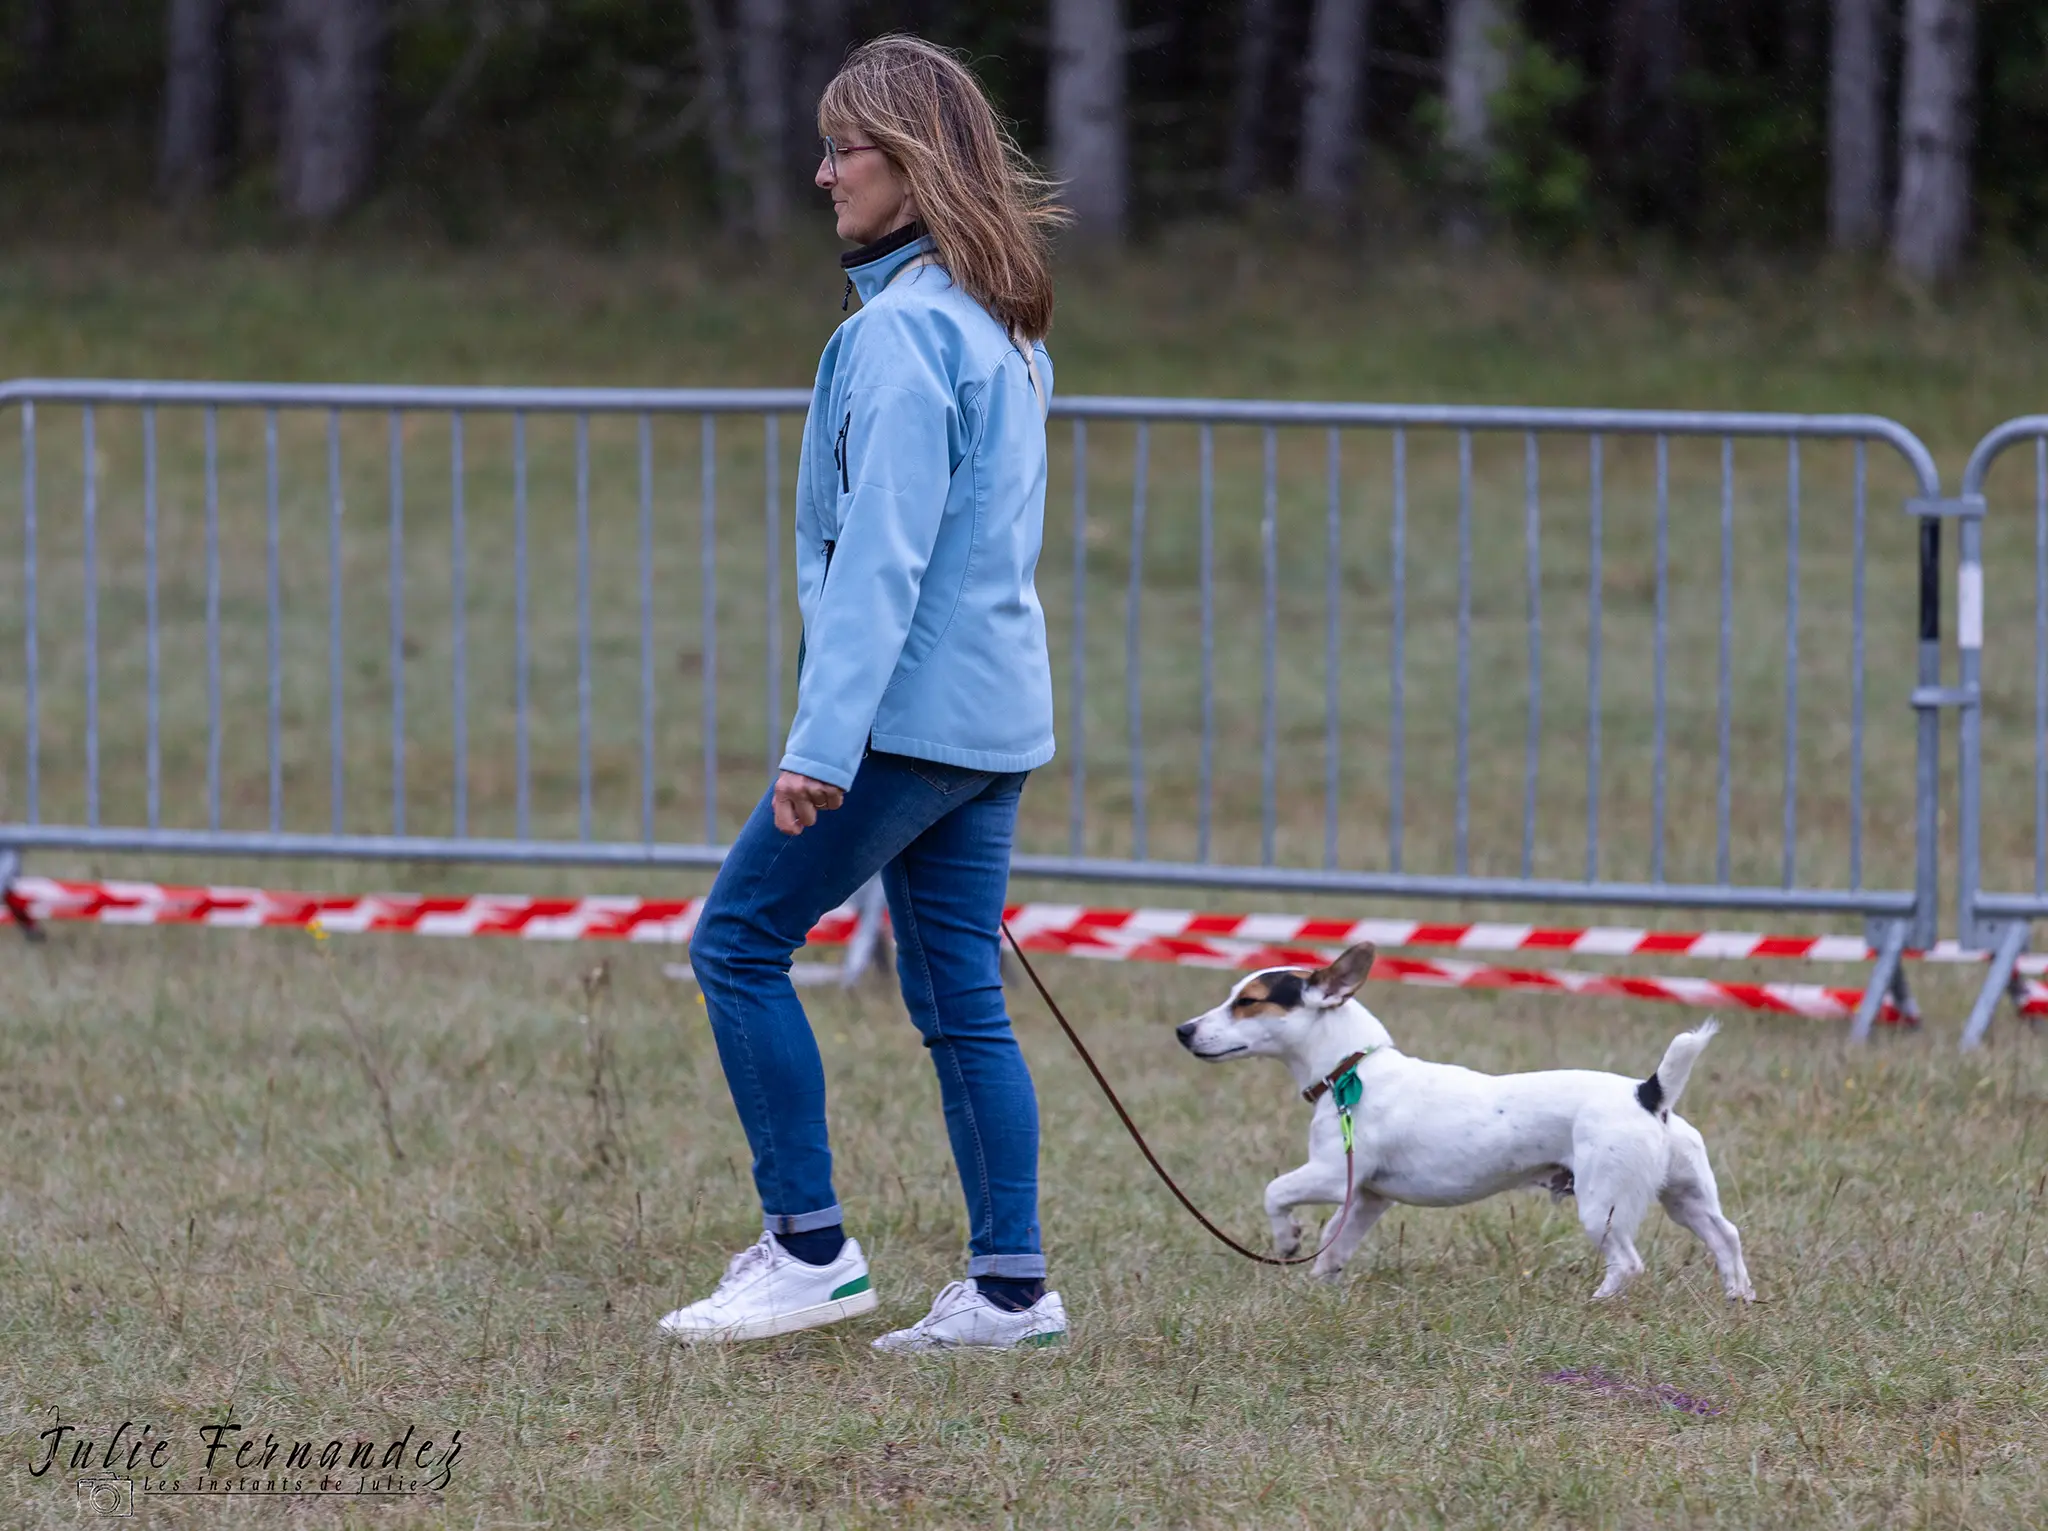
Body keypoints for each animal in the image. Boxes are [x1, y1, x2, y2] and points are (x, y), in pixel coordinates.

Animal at [1179, 937, 1753, 1301]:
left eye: (1248, 1002)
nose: (1183, 1030)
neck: (1351, 1067)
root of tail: (1648, 1093)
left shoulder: (1331, 1174)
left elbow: (1275, 1192)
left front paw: (1286, 1241)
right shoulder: (1367, 1196)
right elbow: (1336, 1243)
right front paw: (1321, 1282)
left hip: (1602, 1205)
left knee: (1628, 1263)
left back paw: (1600, 1301)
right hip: (1684, 1196)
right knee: (1725, 1235)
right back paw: (1738, 1295)